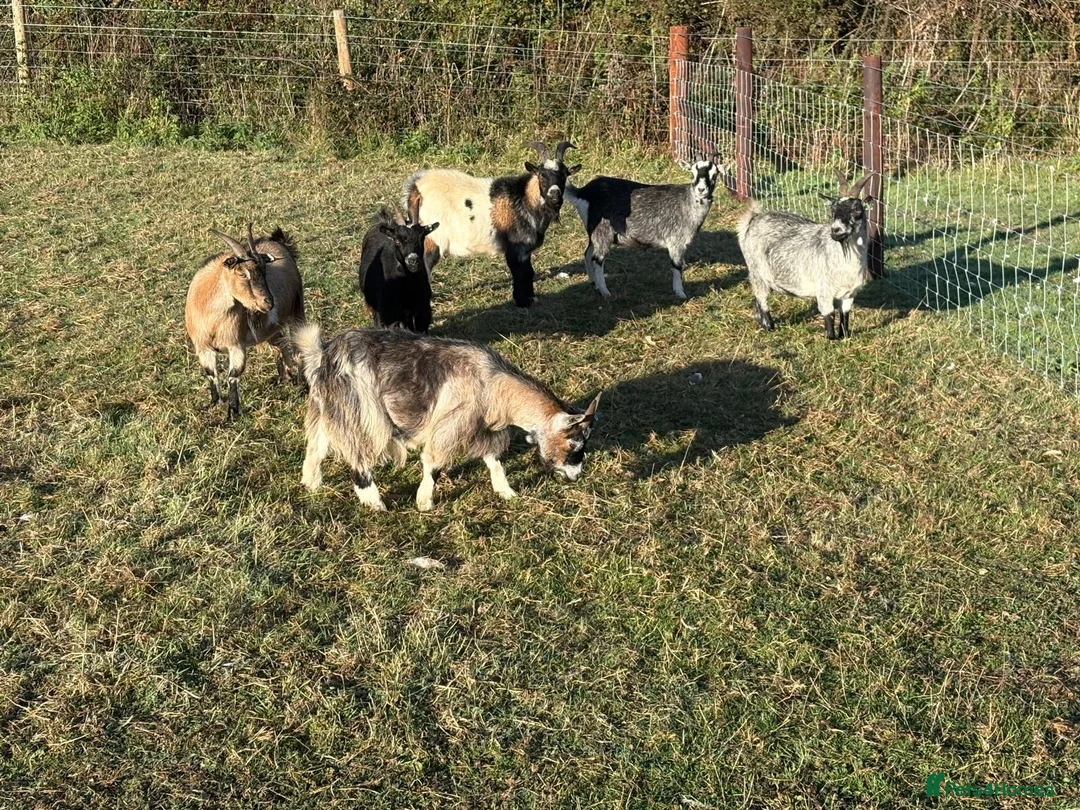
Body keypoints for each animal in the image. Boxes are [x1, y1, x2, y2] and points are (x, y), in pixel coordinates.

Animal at [185, 223, 304, 419]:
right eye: (242, 273)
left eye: (264, 270)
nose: (268, 303)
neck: (213, 320)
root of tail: (279, 242)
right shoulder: (203, 347)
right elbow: (211, 374)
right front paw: (214, 404)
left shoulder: (236, 345)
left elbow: (233, 375)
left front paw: (233, 412)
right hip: (270, 330)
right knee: (281, 345)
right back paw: (285, 377)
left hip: (297, 310)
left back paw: (302, 384)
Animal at [295, 324, 601, 511]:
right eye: (574, 445)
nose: (576, 475)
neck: (493, 385)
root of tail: (323, 355)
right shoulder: (451, 425)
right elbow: (433, 464)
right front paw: (424, 502)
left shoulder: (482, 429)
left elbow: (494, 460)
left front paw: (506, 492)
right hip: (363, 415)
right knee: (358, 457)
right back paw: (375, 504)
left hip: (327, 409)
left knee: (316, 447)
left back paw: (311, 484)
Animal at [402, 141, 581, 308]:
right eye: (541, 175)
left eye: (564, 174)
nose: (554, 194)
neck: (523, 199)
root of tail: (416, 188)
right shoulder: (516, 247)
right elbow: (521, 272)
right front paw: (522, 301)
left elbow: (528, 271)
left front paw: (530, 298)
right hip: (433, 238)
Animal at [565, 156, 723, 300]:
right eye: (693, 172)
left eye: (714, 174)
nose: (701, 189)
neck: (688, 203)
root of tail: (583, 192)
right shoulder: (676, 241)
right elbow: (677, 266)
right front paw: (680, 293)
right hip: (602, 232)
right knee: (597, 259)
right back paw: (605, 292)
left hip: (593, 233)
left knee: (587, 254)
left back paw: (594, 283)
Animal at [737, 170, 874, 340]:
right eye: (833, 210)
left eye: (857, 210)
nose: (835, 230)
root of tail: (753, 219)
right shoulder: (824, 291)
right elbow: (829, 316)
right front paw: (832, 339)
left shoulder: (849, 294)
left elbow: (844, 316)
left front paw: (844, 336)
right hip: (756, 272)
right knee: (761, 297)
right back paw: (769, 326)